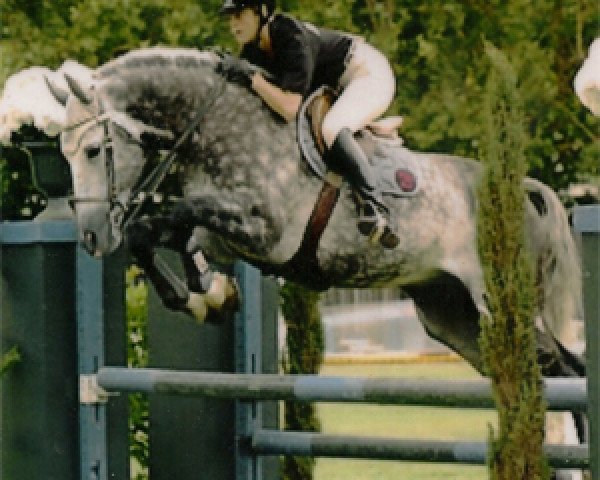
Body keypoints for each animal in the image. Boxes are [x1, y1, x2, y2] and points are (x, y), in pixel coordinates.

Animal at [45, 47, 580, 380]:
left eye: (92, 150)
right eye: (64, 153)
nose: (90, 237)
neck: (219, 126)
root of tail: (522, 189)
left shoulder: (264, 231)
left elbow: (168, 219)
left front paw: (203, 293)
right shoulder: (225, 233)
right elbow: (161, 232)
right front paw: (207, 296)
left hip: (500, 301)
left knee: (561, 366)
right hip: (451, 315)